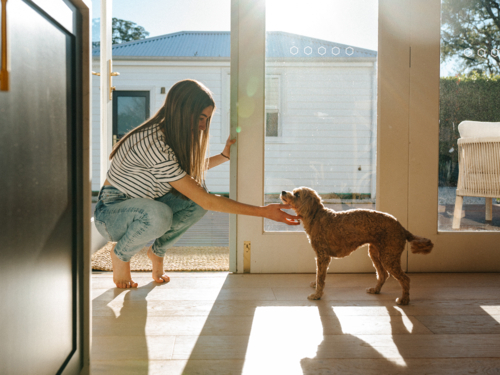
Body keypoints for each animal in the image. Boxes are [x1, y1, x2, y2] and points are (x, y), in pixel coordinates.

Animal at [282, 187, 434, 306]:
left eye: (297, 194)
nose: (283, 192)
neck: (315, 216)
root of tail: (401, 228)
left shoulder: (323, 256)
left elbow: (321, 278)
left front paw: (317, 295)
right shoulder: (320, 258)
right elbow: (318, 275)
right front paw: (315, 286)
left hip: (389, 257)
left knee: (405, 279)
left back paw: (404, 300)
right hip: (376, 253)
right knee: (383, 275)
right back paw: (376, 290)